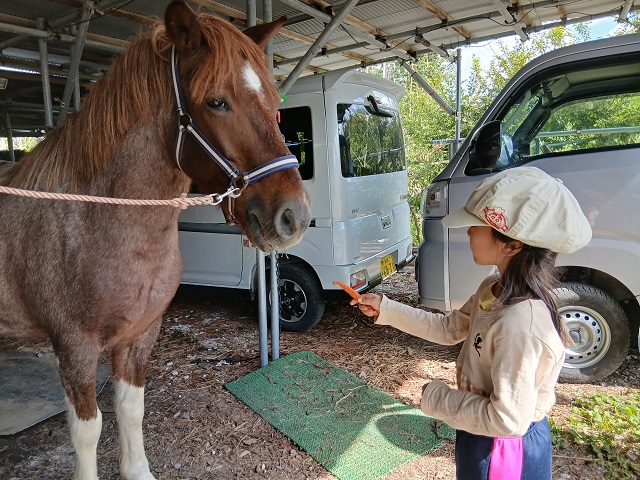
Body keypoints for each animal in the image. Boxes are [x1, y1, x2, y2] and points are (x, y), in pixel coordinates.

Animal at [0, 1, 310, 478]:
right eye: (216, 101)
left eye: (276, 105)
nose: (295, 215)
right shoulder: (73, 346)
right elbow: (87, 430)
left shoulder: (141, 334)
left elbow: (131, 409)